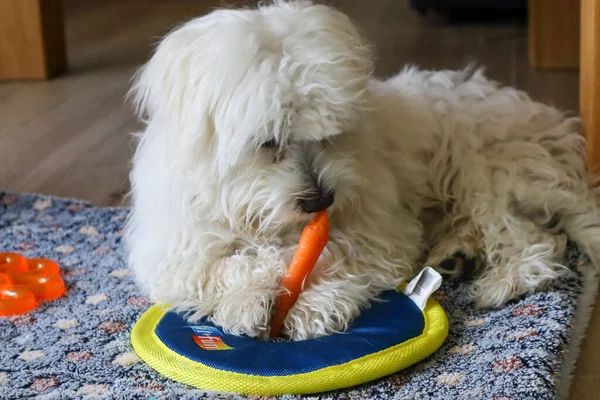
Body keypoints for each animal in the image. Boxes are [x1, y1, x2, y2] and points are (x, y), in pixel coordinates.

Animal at [124, 0, 600, 340]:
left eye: (330, 133)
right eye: (269, 142)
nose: (321, 199)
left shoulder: (379, 231)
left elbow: (340, 257)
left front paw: (312, 306)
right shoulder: (176, 251)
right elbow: (221, 267)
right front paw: (249, 299)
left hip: (482, 166)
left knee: (535, 240)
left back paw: (502, 282)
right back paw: (455, 256)